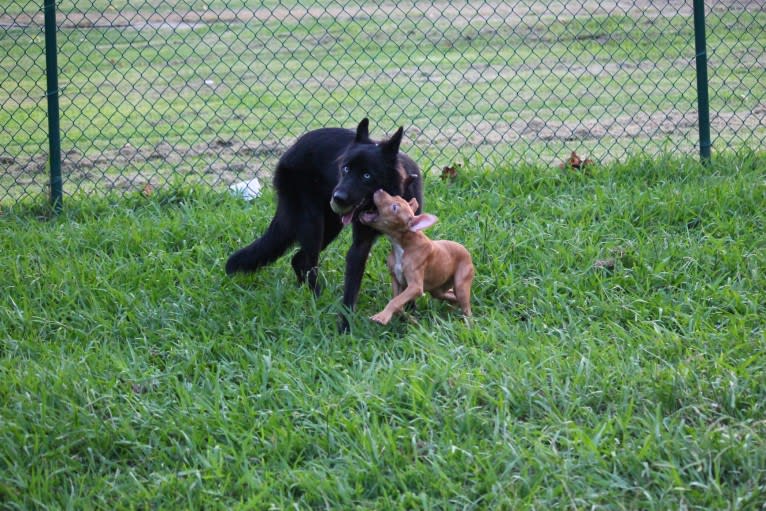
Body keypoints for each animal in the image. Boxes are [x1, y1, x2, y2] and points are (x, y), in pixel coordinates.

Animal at [225, 118, 424, 330]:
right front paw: (345, 328)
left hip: (330, 227)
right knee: (308, 263)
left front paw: (409, 313)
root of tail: (290, 151)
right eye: (345, 169)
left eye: (367, 175)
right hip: (314, 226)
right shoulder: (359, 246)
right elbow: (351, 291)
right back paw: (316, 299)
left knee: (298, 259)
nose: (337, 198)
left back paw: (306, 292)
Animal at [360, 188, 474, 324]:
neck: (403, 244)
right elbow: (397, 302)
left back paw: (467, 323)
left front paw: (382, 317)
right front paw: (411, 320)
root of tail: (467, 252)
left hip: (461, 285)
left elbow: (395, 301)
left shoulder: (415, 286)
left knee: (467, 308)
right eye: (397, 197)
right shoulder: (396, 279)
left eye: (394, 207)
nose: (379, 189)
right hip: (438, 289)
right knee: (450, 295)